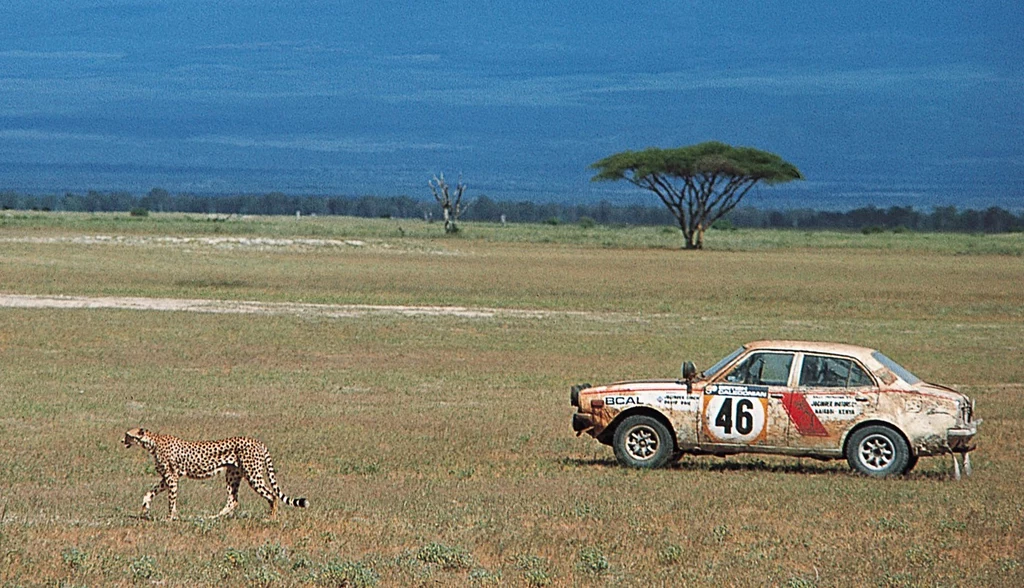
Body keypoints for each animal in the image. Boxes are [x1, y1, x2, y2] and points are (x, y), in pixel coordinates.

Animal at [124, 428, 307, 520]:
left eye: (128, 435)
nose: (122, 440)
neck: (152, 442)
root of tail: (257, 441)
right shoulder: (166, 478)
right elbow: (149, 493)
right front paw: (145, 508)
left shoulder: (172, 477)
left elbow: (171, 499)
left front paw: (170, 517)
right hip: (233, 476)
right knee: (233, 500)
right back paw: (213, 517)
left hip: (253, 474)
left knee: (271, 495)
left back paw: (271, 518)